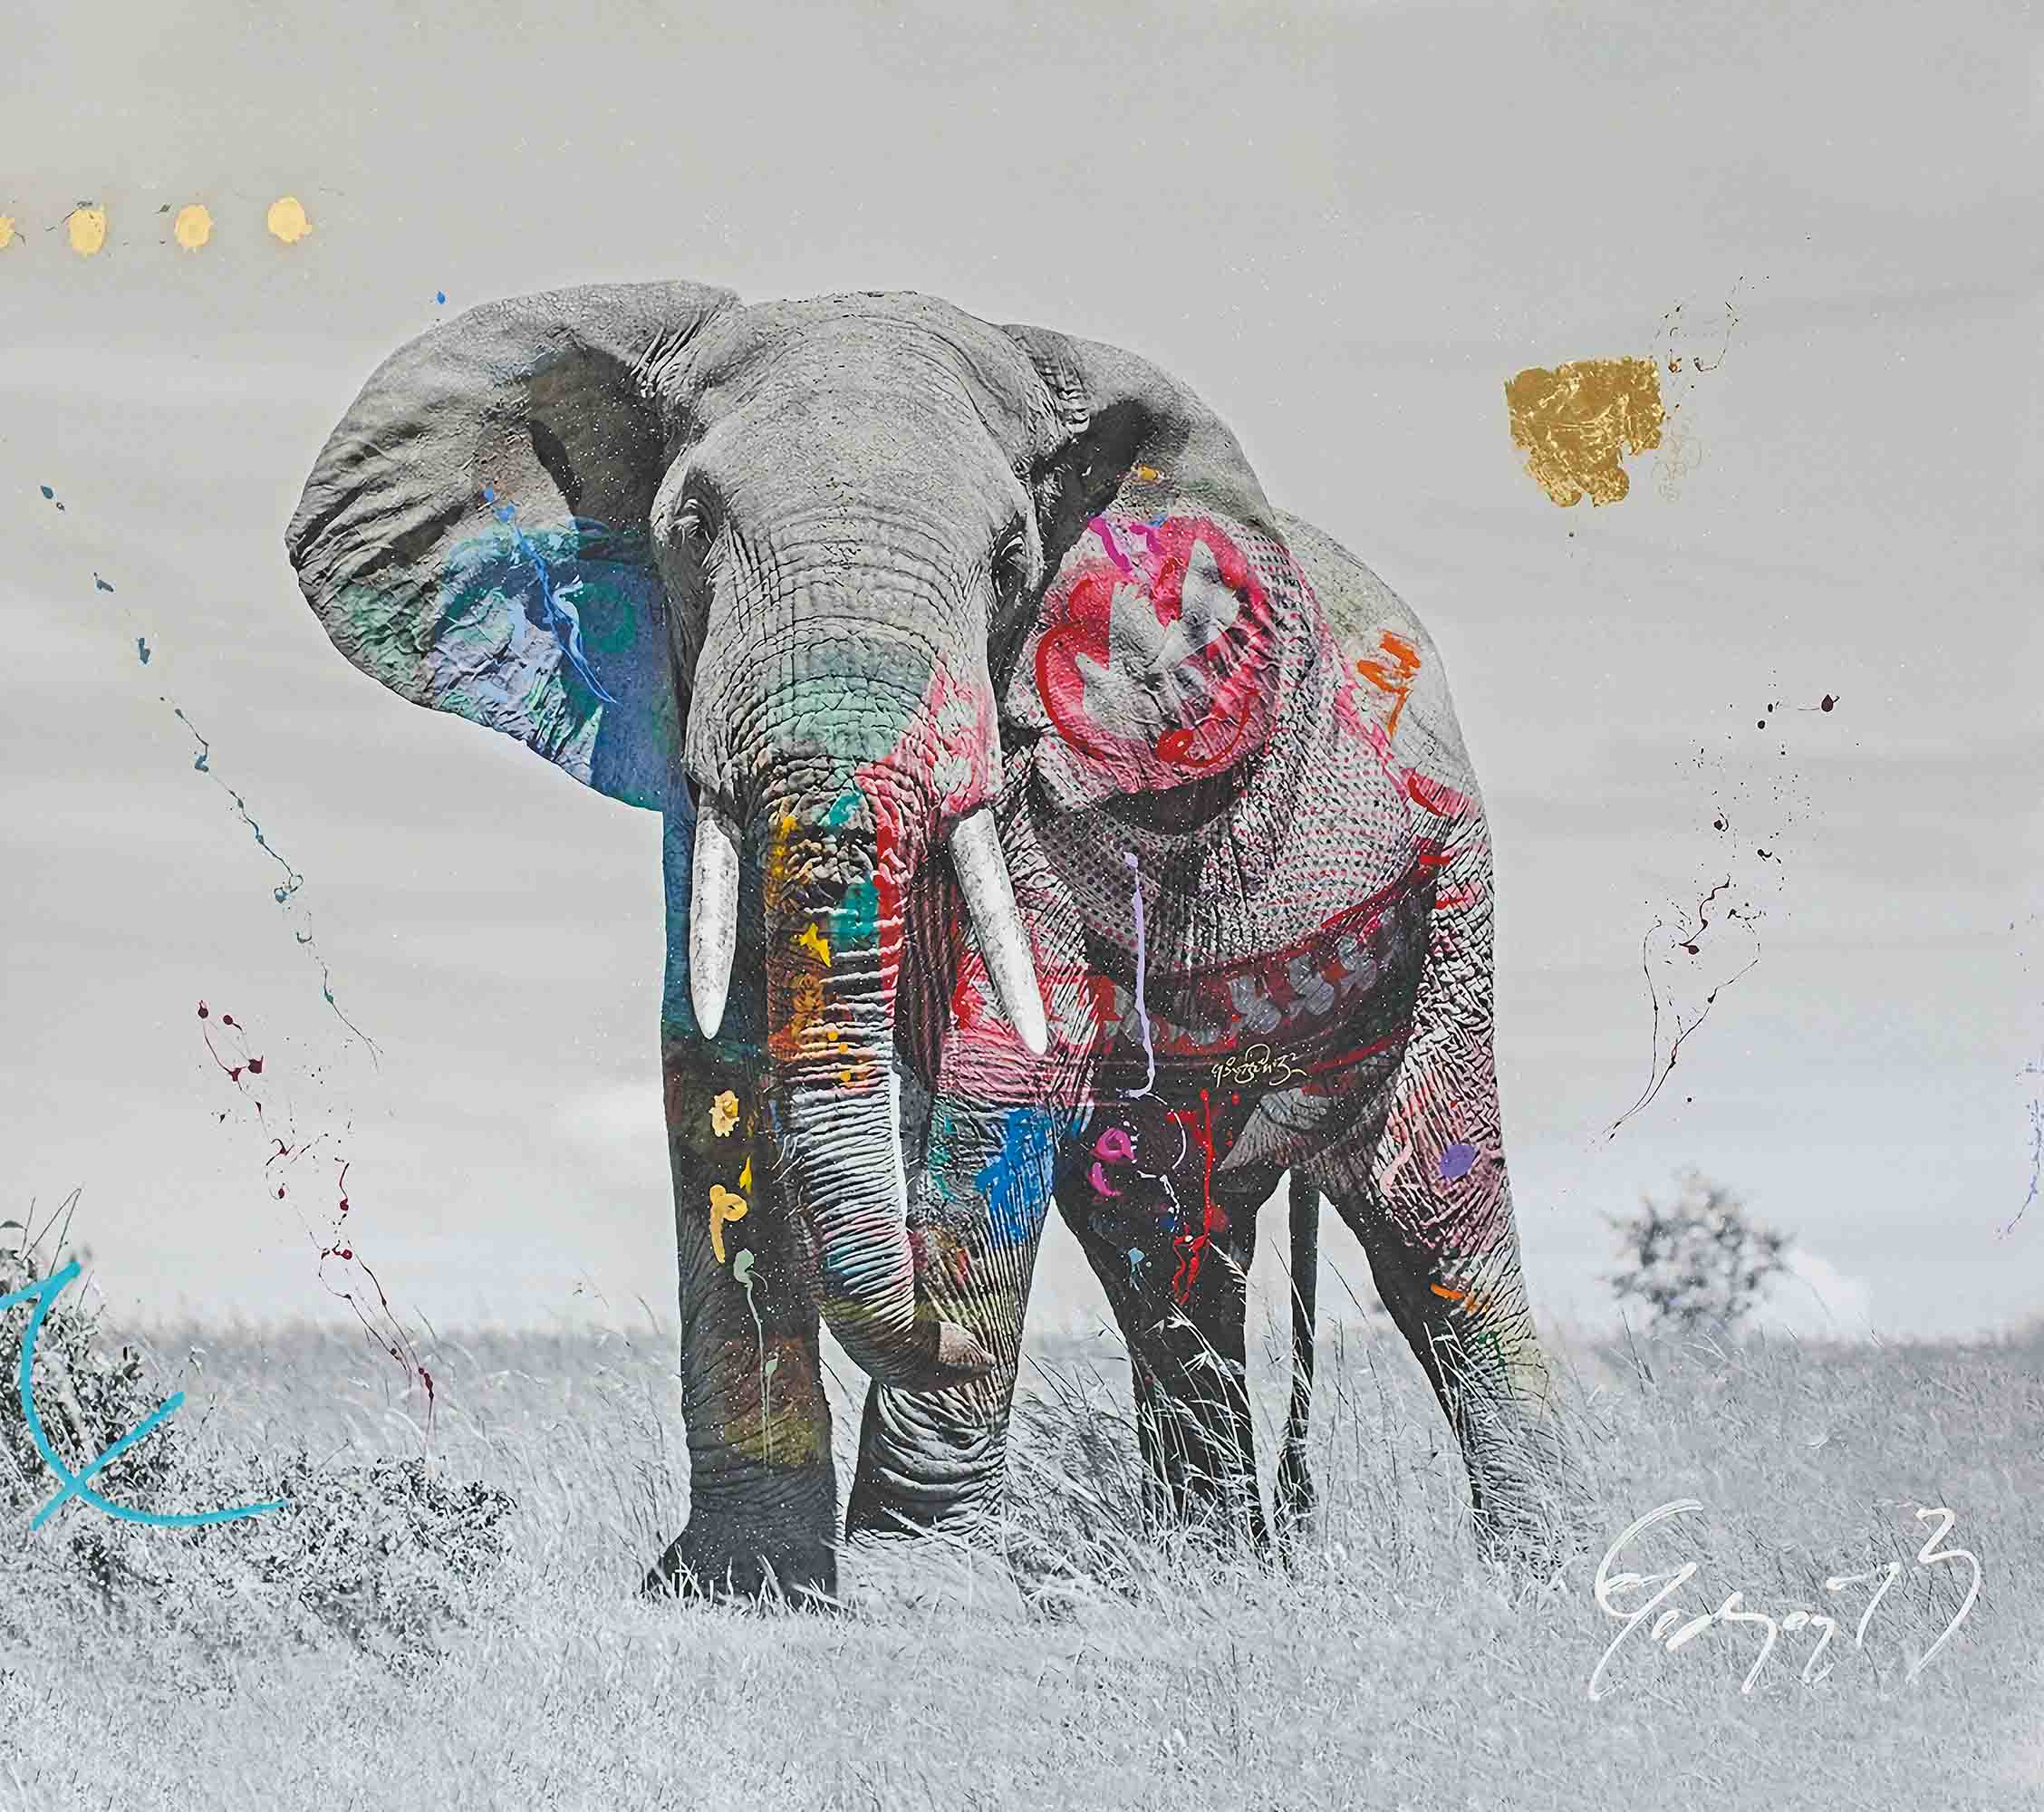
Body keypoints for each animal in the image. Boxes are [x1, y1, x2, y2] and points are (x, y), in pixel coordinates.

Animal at [286, 279, 1571, 1604]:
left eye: (1011, 564)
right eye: (689, 528)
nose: (938, 1339)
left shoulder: (1067, 769)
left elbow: (1004, 1072)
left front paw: (920, 1583)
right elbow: (713, 1059)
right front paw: (735, 1586)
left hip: (1446, 885)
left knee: (1425, 1215)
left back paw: (1542, 1577)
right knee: (1158, 1240)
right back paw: (1212, 1574)